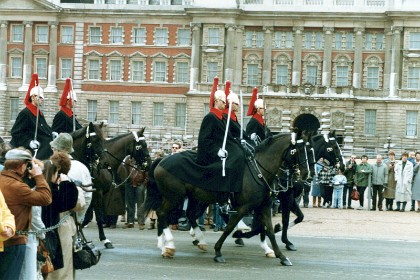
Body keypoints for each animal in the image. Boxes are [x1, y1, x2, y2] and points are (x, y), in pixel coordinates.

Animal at [146, 132, 310, 266]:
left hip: (195, 198)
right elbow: (230, 227)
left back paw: (178, 244)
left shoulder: (264, 206)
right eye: (298, 150)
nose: (306, 174)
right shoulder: (243, 208)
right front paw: (219, 250)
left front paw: (281, 256)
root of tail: (161, 160)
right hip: (174, 197)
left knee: (187, 215)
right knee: (162, 213)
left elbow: (268, 230)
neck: (259, 170)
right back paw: (169, 245)